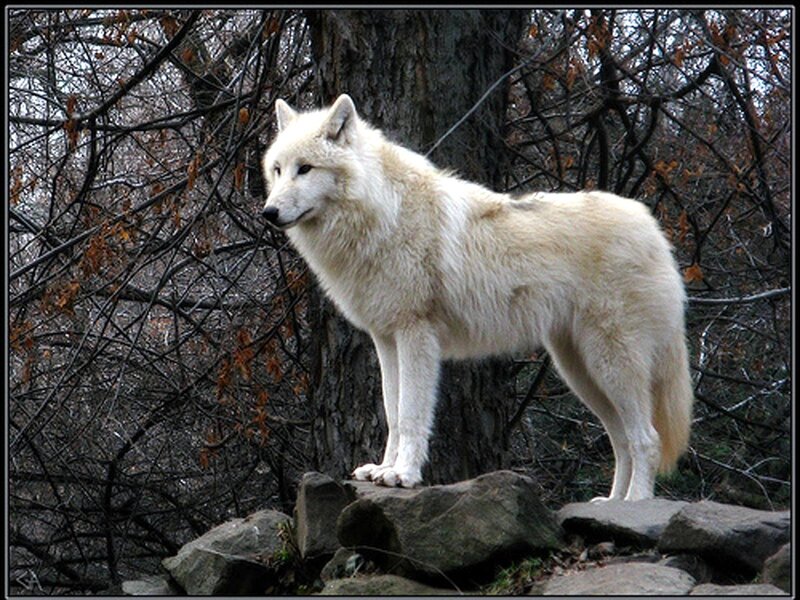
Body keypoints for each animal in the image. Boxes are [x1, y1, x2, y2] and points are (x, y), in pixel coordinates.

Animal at [261, 94, 693, 501]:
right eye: (278, 170)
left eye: (305, 168)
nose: (269, 212)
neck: (385, 213)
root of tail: (654, 231)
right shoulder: (386, 340)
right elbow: (393, 413)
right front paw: (383, 469)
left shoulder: (416, 335)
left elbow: (412, 414)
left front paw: (403, 475)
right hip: (581, 371)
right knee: (621, 440)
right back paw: (610, 503)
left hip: (611, 365)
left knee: (647, 440)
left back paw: (635, 503)